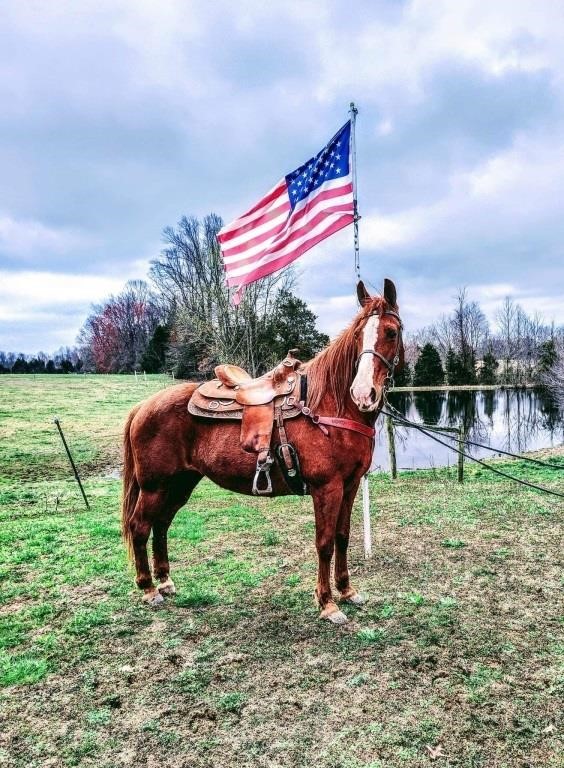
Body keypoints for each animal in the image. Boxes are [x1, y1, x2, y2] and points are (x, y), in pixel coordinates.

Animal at [122, 280, 406, 624]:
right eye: (357, 335)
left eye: (391, 332)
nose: (364, 394)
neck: (329, 406)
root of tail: (142, 407)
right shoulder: (327, 488)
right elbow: (324, 542)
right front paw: (327, 603)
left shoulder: (349, 486)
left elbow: (342, 536)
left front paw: (347, 591)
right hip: (155, 486)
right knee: (140, 527)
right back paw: (149, 589)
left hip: (179, 484)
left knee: (161, 524)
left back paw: (165, 581)